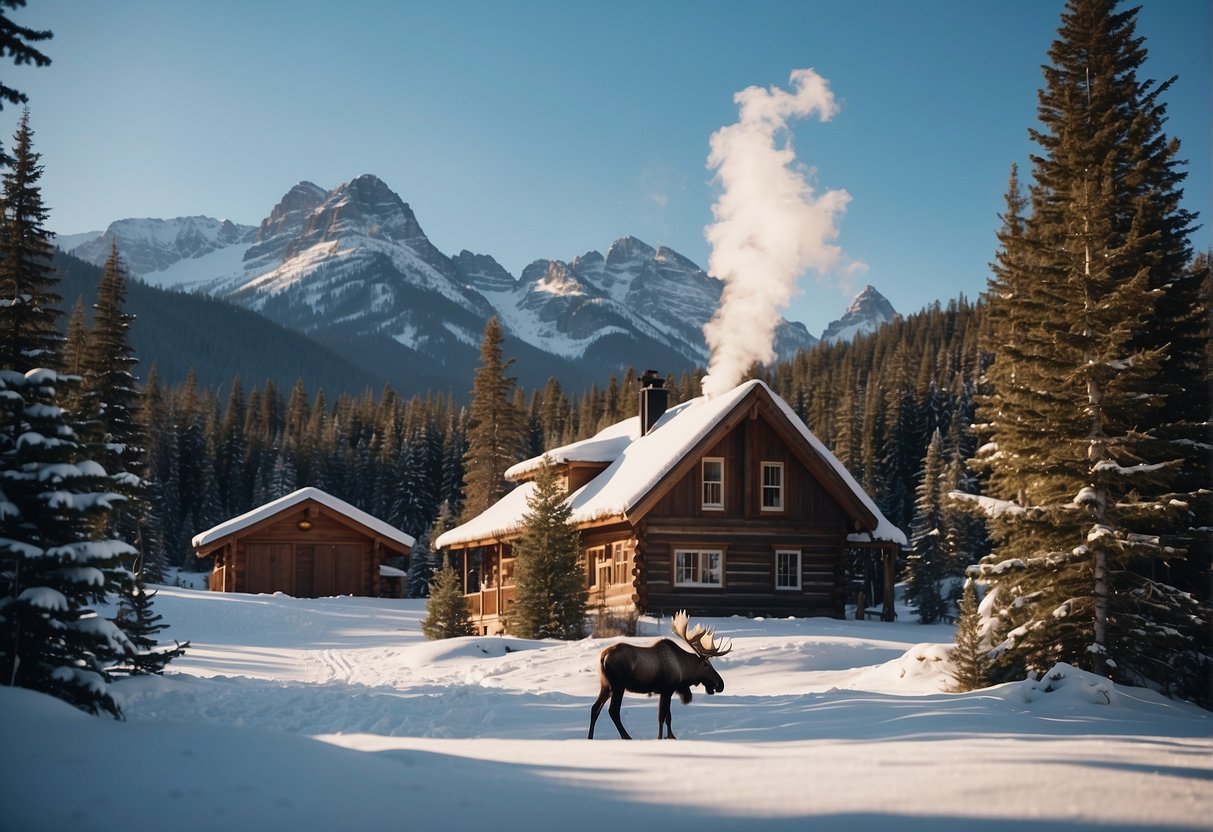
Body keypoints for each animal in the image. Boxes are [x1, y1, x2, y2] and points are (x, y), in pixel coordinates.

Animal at [587, 613, 727, 742]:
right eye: (706, 665)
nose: (721, 684)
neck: (683, 670)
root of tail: (603, 657)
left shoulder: (667, 691)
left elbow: (668, 717)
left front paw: (671, 736)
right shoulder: (667, 689)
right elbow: (662, 716)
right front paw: (660, 738)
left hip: (606, 685)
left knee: (595, 708)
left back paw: (590, 737)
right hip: (618, 686)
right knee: (613, 711)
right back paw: (627, 737)